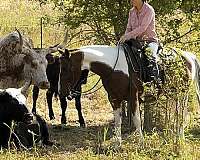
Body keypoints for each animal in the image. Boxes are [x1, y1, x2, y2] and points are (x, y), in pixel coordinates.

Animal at [57, 44, 200, 146]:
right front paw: (117, 143)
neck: (113, 67)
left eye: (64, 69)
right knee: (178, 114)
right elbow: (118, 121)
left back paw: (180, 137)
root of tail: (188, 56)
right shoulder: (114, 98)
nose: (60, 92)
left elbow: (137, 119)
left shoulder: (133, 97)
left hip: (182, 93)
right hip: (175, 94)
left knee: (182, 114)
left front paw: (141, 141)